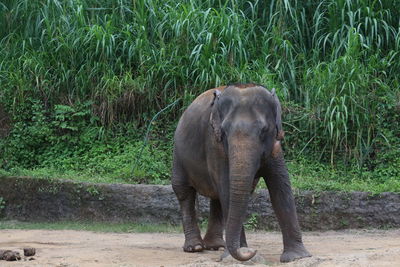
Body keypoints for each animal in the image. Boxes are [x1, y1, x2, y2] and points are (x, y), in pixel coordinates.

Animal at [170, 84, 310, 264]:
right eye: (224, 131)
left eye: (264, 130)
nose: (253, 251)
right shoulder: (215, 144)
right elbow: (227, 188)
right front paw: (240, 253)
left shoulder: (275, 146)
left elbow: (281, 187)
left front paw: (297, 257)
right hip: (178, 154)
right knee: (184, 192)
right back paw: (195, 247)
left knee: (217, 197)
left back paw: (217, 246)